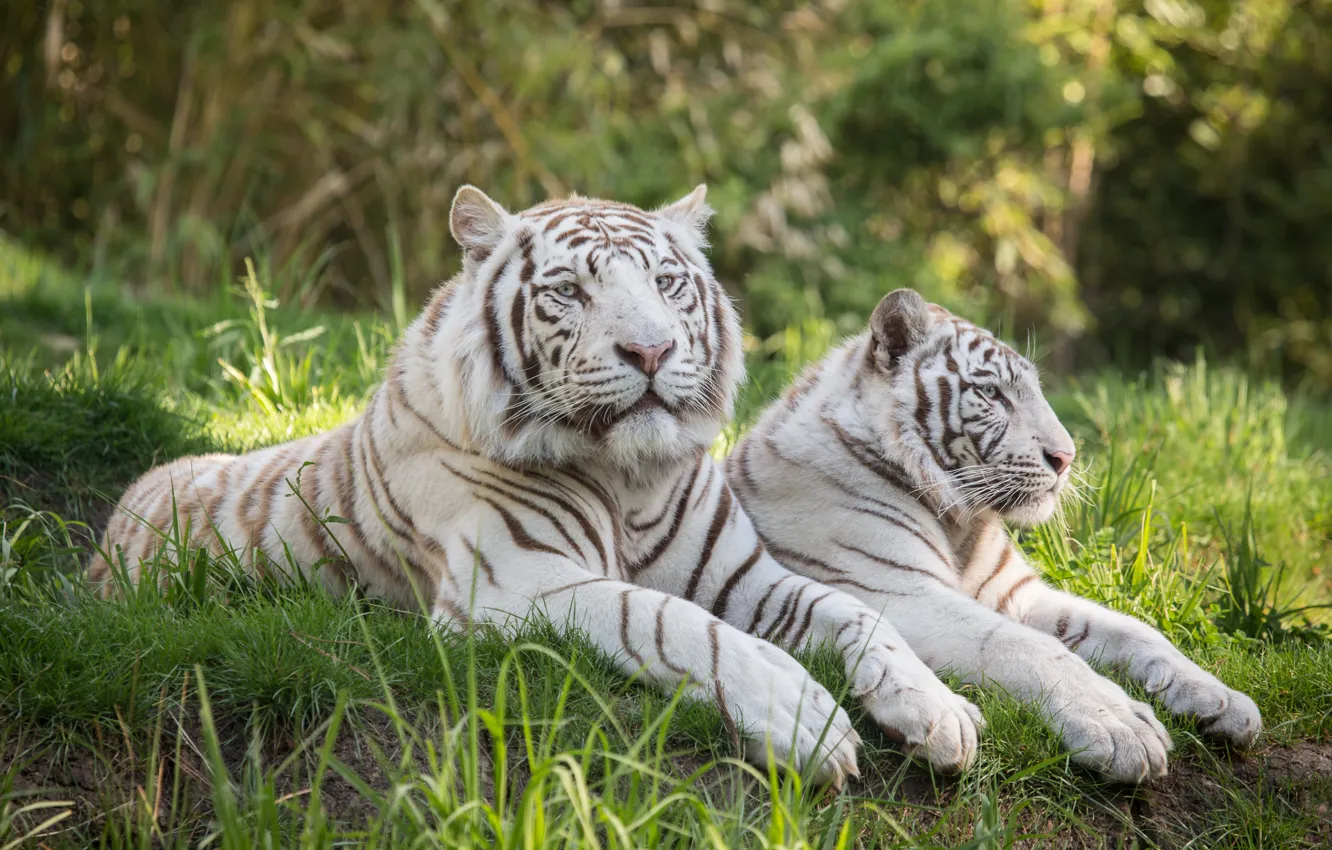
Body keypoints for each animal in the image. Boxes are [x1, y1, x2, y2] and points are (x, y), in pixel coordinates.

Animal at [89, 189, 985, 785]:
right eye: (569, 291)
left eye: (667, 284)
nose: (651, 351)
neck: (629, 478)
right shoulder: (517, 583)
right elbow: (669, 621)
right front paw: (808, 722)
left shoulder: (745, 577)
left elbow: (858, 613)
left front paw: (940, 711)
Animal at [726, 287, 1262, 783]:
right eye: (992, 395)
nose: (1067, 458)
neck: (961, 522)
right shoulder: (896, 589)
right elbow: (1033, 649)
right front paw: (1121, 726)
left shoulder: (1016, 595)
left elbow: (1135, 631)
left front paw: (1222, 699)